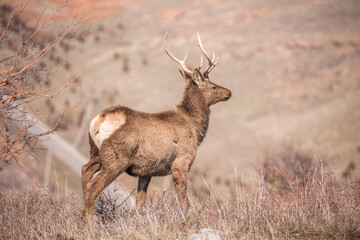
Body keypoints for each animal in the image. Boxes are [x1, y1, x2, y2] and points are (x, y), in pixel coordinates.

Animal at [81, 31, 232, 218]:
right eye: (213, 86)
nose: (229, 92)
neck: (195, 129)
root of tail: (99, 120)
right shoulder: (181, 163)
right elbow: (183, 201)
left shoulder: (146, 171)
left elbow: (139, 203)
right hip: (115, 158)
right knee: (92, 187)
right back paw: (90, 221)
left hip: (95, 153)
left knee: (84, 172)